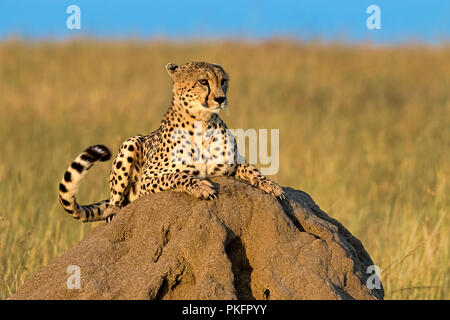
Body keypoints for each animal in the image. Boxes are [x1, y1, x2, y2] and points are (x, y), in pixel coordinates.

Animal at [59, 62, 284, 222]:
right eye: (203, 81)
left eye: (223, 81)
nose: (221, 99)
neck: (202, 122)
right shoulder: (148, 180)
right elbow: (178, 176)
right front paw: (201, 187)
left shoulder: (230, 165)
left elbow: (253, 170)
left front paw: (272, 186)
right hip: (131, 143)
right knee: (114, 201)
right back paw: (113, 211)